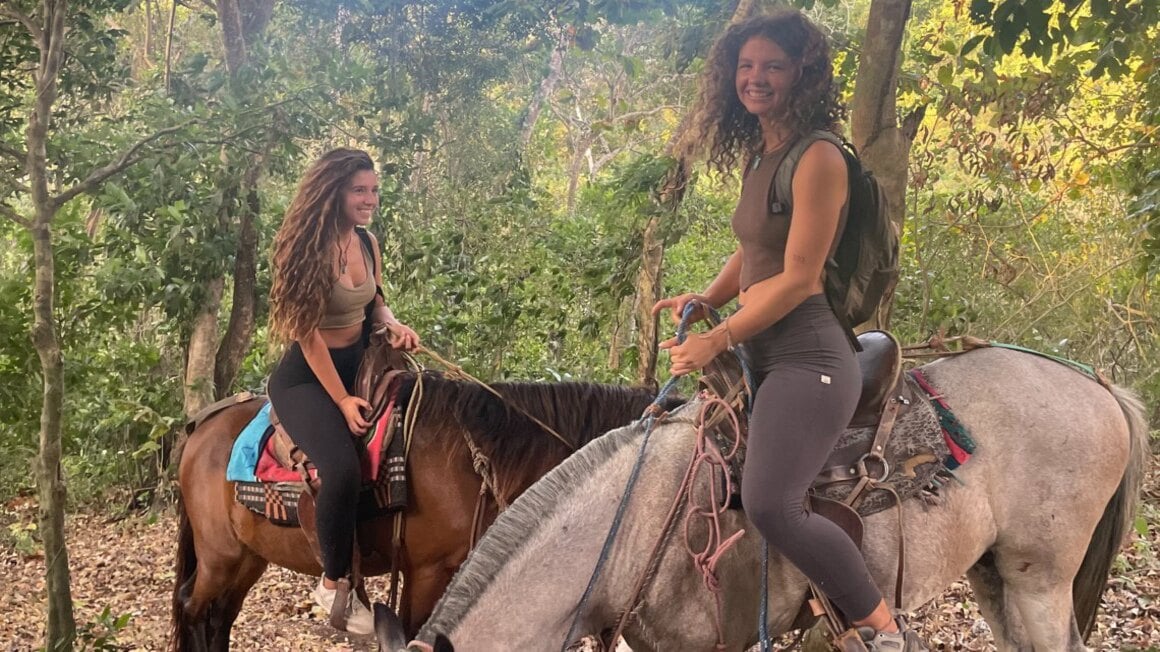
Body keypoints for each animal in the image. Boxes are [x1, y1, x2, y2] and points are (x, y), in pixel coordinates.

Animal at [168, 371, 677, 649]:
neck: (478, 460)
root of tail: (202, 426)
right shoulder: (428, 570)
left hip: (248, 556)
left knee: (220, 617)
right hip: (219, 555)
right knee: (193, 608)